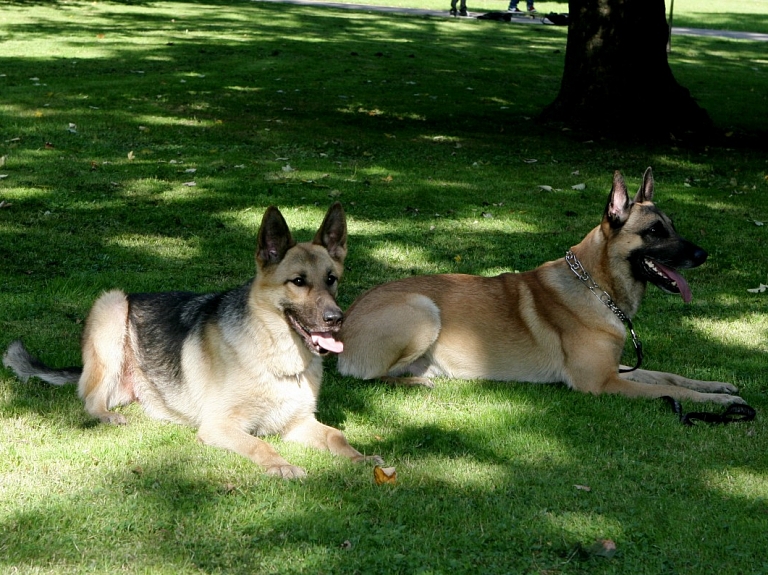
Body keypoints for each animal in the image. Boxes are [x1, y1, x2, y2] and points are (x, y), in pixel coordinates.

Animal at [3, 201, 380, 476]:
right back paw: (107, 415)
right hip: (112, 305)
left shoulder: (297, 423)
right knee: (90, 398)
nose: (336, 319)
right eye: (298, 282)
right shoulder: (220, 426)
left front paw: (361, 459)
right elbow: (261, 445)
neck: (277, 357)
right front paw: (281, 465)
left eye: (331, 279)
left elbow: (336, 435)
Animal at [338, 169, 744, 408]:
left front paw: (717, 386)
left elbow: (668, 376)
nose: (703, 255)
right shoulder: (601, 382)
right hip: (423, 309)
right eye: (655, 231)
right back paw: (416, 384)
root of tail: (342, 320)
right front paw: (722, 404)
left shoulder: (615, 370)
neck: (596, 286)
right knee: (368, 378)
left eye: (672, 226)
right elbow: (671, 390)